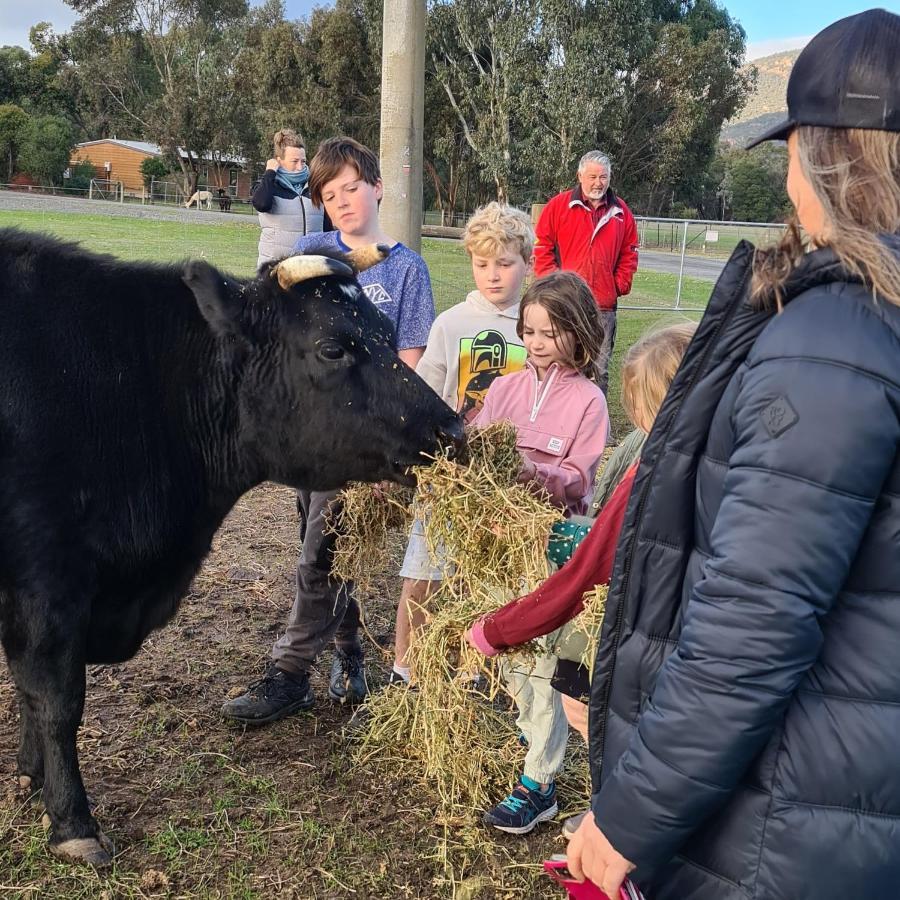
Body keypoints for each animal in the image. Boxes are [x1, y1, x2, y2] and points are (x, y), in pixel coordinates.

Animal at [0, 230, 464, 864]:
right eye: (332, 348)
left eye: (388, 336)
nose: (453, 431)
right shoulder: (46, 580)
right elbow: (55, 696)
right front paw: (73, 822)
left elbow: (29, 687)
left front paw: (30, 776)